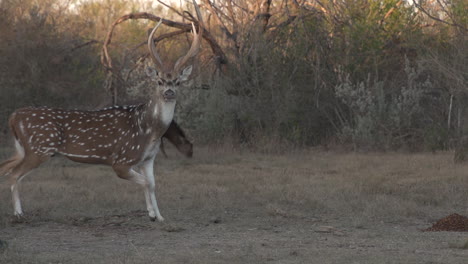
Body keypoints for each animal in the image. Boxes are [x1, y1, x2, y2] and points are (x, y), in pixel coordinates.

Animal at [1, 3, 203, 222]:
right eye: (159, 81)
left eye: (177, 82)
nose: (169, 92)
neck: (150, 130)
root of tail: (14, 116)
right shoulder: (121, 160)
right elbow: (146, 182)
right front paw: (151, 215)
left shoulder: (148, 159)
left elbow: (153, 184)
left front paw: (158, 216)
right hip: (39, 149)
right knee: (13, 174)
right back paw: (18, 213)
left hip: (24, 148)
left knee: (5, 167)